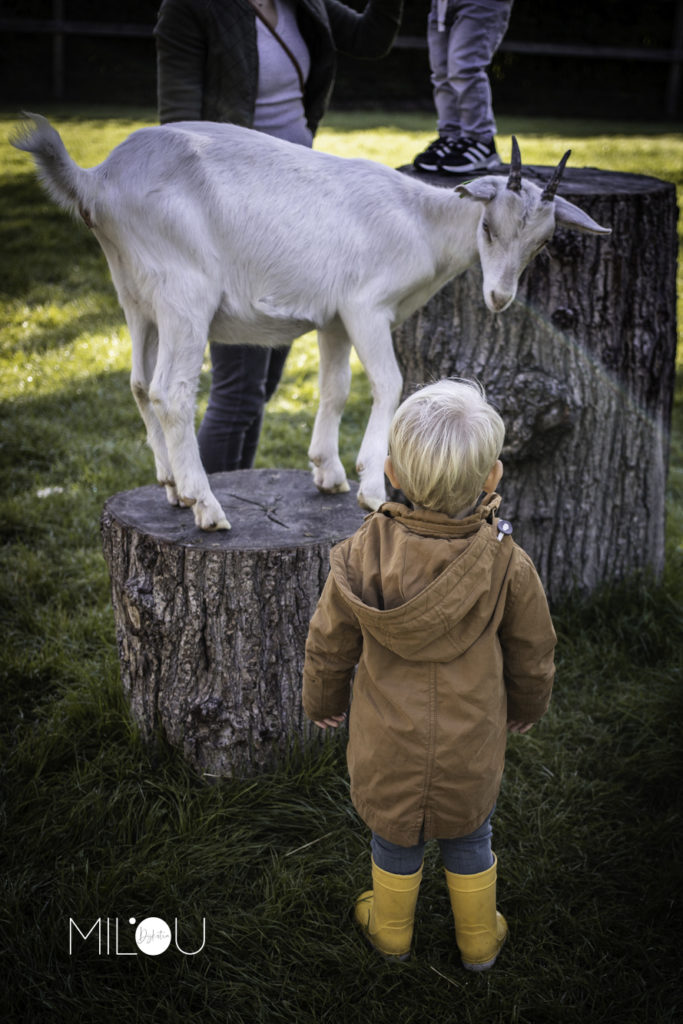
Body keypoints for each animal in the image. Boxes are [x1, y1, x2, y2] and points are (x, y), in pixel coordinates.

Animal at [12, 116, 610, 532]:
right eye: (487, 226)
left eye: (541, 246)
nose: (499, 298)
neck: (421, 221)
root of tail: (96, 181)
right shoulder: (366, 306)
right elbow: (389, 383)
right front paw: (372, 485)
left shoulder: (333, 317)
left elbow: (335, 387)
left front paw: (329, 473)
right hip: (185, 292)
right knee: (170, 392)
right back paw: (206, 506)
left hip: (136, 293)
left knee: (138, 382)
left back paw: (172, 487)